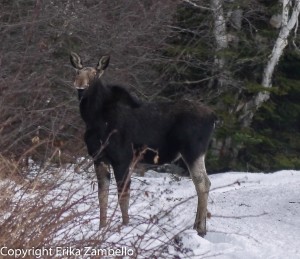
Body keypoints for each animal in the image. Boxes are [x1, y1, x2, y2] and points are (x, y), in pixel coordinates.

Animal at [70, 51, 216, 237]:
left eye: (94, 74)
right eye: (77, 72)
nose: (80, 86)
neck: (94, 119)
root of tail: (214, 117)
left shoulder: (122, 158)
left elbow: (123, 195)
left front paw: (124, 225)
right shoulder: (99, 157)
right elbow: (102, 195)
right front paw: (102, 228)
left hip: (193, 150)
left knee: (202, 182)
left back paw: (200, 229)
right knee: (202, 182)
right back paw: (198, 226)